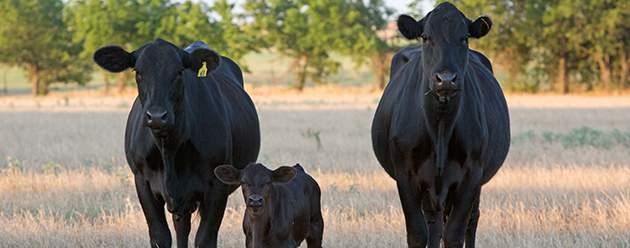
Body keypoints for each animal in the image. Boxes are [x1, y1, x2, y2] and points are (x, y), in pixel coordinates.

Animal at [94, 37, 262, 247]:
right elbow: (160, 236)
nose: (157, 116)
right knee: (181, 228)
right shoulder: (143, 182)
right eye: (138, 71)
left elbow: (205, 239)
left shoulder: (217, 187)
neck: (170, 149)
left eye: (179, 71)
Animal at [372, 2, 512, 248]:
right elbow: (418, 233)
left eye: (464, 37)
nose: (446, 79)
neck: (440, 126)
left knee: (471, 219)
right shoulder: (405, 175)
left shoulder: (472, 175)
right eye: (426, 37)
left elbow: (454, 233)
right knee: (434, 223)